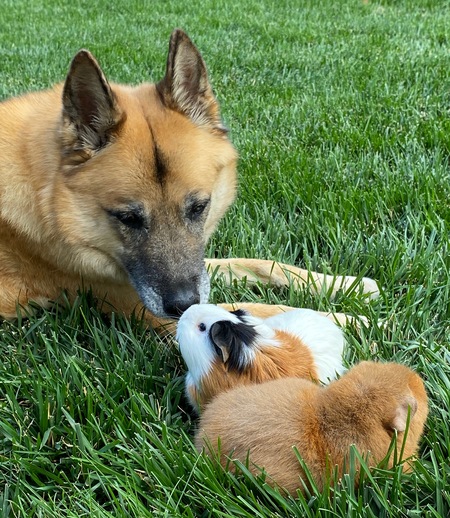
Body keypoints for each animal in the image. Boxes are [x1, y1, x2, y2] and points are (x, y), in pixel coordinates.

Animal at [0, 29, 378, 330]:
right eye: (127, 218)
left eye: (199, 207)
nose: (183, 306)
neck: (50, 194)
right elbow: (264, 312)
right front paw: (351, 323)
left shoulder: (197, 268)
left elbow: (259, 263)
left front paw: (344, 284)